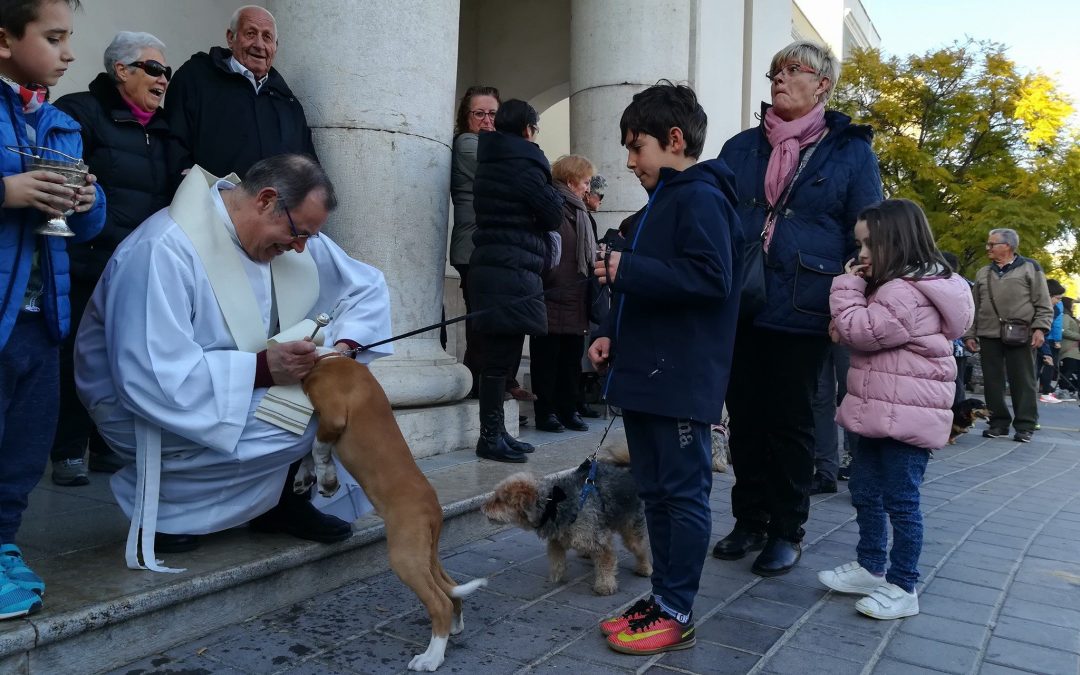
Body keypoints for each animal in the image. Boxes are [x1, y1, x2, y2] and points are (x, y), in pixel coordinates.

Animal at [300, 356, 486, 669]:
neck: (328, 359)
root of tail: (434, 510)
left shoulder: (332, 417)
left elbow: (316, 446)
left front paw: (325, 476)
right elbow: (307, 453)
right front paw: (311, 478)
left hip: (405, 556)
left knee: (439, 602)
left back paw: (431, 658)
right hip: (424, 554)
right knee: (450, 589)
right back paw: (454, 628)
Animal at [483, 440, 648, 596]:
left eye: (499, 499)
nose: (483, 507)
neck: (552, 504)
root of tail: (630, 472)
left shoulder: (600, 542)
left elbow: (606, 563)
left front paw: (605, 586)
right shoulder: (557, 539)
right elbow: (556, 559)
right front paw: (557, 576)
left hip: (631, 530)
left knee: (640, 548)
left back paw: (645, 568)